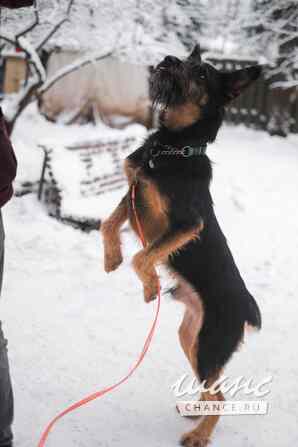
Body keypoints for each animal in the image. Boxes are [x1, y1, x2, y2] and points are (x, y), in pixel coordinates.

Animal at [101, 45, 262, 447]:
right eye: (190, 61)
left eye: (202, 74)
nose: (170, 59)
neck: (172, 147)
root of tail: (246, 307)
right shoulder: (134, 193)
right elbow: (108, 224)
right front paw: (111, 257)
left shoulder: (186, 223)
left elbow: (143, 256)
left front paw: (150, 287)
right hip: (191, 337)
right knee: (212, 388)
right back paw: (195, 413)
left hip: (209, 344)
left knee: (221, 397)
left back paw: (198, 435)